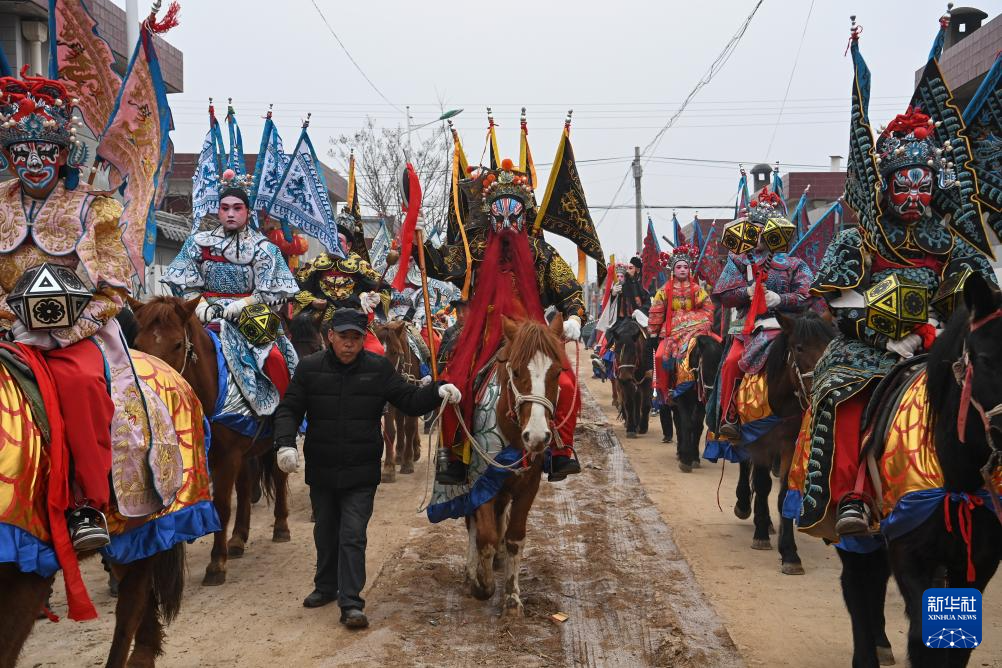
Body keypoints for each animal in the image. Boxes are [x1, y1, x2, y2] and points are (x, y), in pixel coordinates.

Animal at [131, 298, 292, 584]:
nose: (155, 387)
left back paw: (281, 526)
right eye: (138, 344)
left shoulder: (226, 458)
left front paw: (217, 564)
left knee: (278, 474)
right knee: (245, 485)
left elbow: (222, 506)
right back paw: (238, 538)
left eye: (177, 344)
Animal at [376, 320, 422, 482]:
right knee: (400, 422)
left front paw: (407, 463)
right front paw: (388, 469)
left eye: (394, 352)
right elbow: (390, 431)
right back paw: (399, 454)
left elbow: (410, 427)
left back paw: (414, 451)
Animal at [464, 314, 569, 616]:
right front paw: (482, 584)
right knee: (473, 523)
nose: (536, 437)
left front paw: (512, 598)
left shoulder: (528, 485)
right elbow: (485, 535)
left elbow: (514, 538)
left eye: (557, 372)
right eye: (517, 371)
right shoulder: (481, 479)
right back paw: (472, 570)